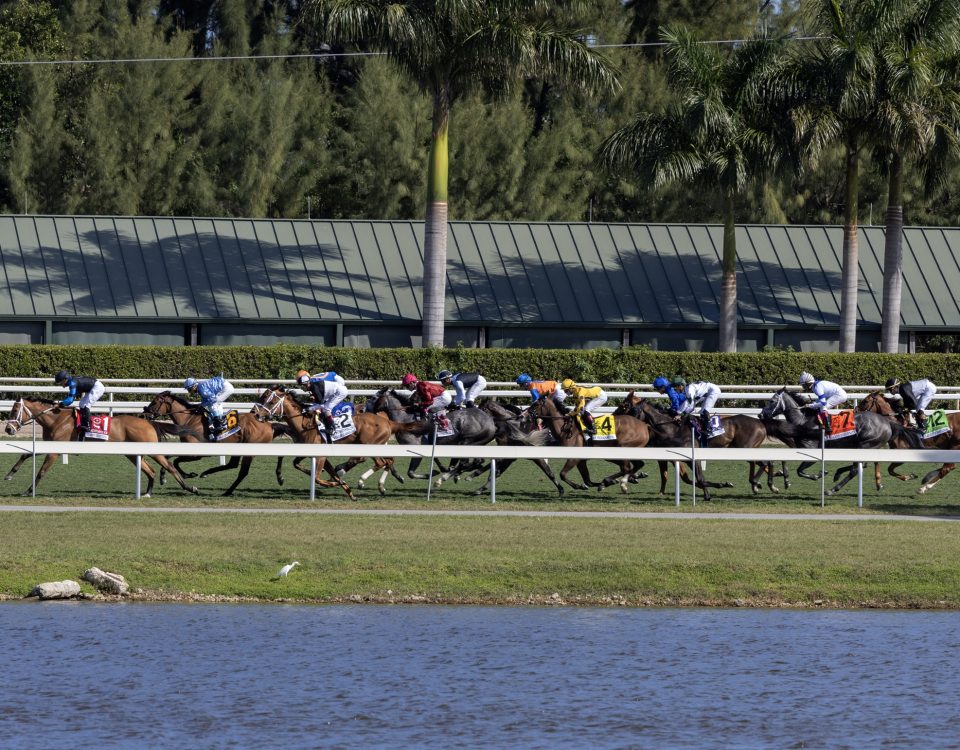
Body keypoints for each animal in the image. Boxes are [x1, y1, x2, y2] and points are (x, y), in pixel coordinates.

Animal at [2, 396, 199, 496]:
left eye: (14, 410)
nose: (8, 429)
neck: (56, 419)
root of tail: (149, 422)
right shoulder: (49, 445)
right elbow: (26, 454)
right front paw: (9, 474)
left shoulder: (55, 450)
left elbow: (41, 471)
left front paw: (29, 491)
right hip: (132, 453)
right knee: (149, 470)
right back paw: (147, 493)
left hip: (151, 449)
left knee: (169, 466)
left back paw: (190, 487)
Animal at [142, 394, 290, 500]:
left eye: (154, 402)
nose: (145, 413)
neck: (189, 421)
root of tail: (269, 424)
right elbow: (169, 457)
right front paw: (166, 476)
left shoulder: (197, 453)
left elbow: (176, 460)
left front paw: (185, 474)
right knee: (233, 465)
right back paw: (207, 474)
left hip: (252, 449)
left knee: (242, 472)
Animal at [253, 388, 422, 500]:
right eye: (262, 398)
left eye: (271, 401)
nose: (256, 414)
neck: (304, 423)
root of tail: (388, 421)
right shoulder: (309, 451)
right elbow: (298, 464)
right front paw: (347, 490)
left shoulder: (320, 455)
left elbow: (317, 477)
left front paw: (334, 482)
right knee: (387, 461)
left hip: (370, 445)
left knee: (379, 461)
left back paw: (360, 480)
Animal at [524, 394, 652, 494]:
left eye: (536, 404)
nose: (523, 415)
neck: (567, 429)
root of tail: (644, 425)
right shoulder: (581, 460)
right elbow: (587, 481)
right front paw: (591, 484)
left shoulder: (574, 458)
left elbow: (563, 474)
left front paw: (580, 485)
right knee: (635, 465)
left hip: (622, 448)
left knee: (626, 467)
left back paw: (618, 481)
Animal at [756, 388, 924, 500]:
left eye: (771, 401)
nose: (760, 414)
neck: (803, 422)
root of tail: (888, 422)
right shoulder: (797, 449)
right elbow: (787, 462)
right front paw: (785, 480)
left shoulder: (812, 451)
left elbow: (800, 471)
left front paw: (819, 474)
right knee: (859, 466)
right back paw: (838, 475)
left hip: (866, 445)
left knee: (856, 469)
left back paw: (832, 489)